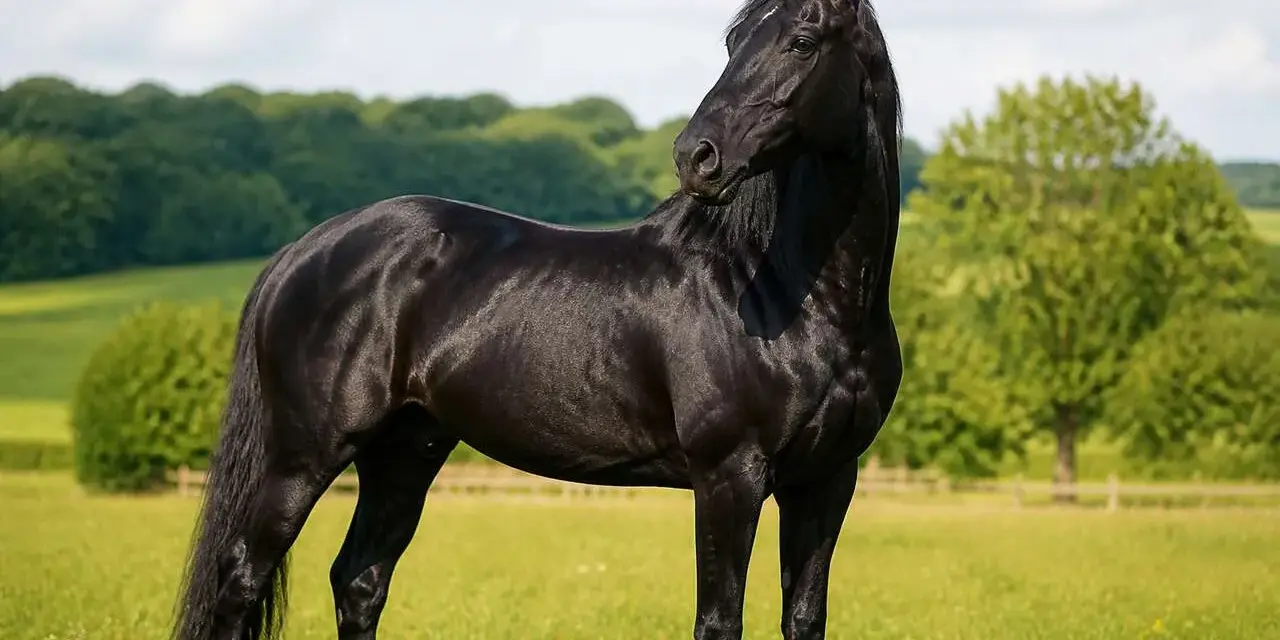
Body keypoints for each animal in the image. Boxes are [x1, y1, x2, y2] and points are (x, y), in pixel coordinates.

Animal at [171, 0, 903, 638]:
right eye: (734, 42)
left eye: (802, 42)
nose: (697, 156)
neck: (786, 289)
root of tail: (305, 250)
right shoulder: (729, 475)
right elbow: (719, 622)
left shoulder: (828, 479)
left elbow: (803, 619)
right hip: (303, 454)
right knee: (242, 577)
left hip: (403, 452)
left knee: (359, 582)